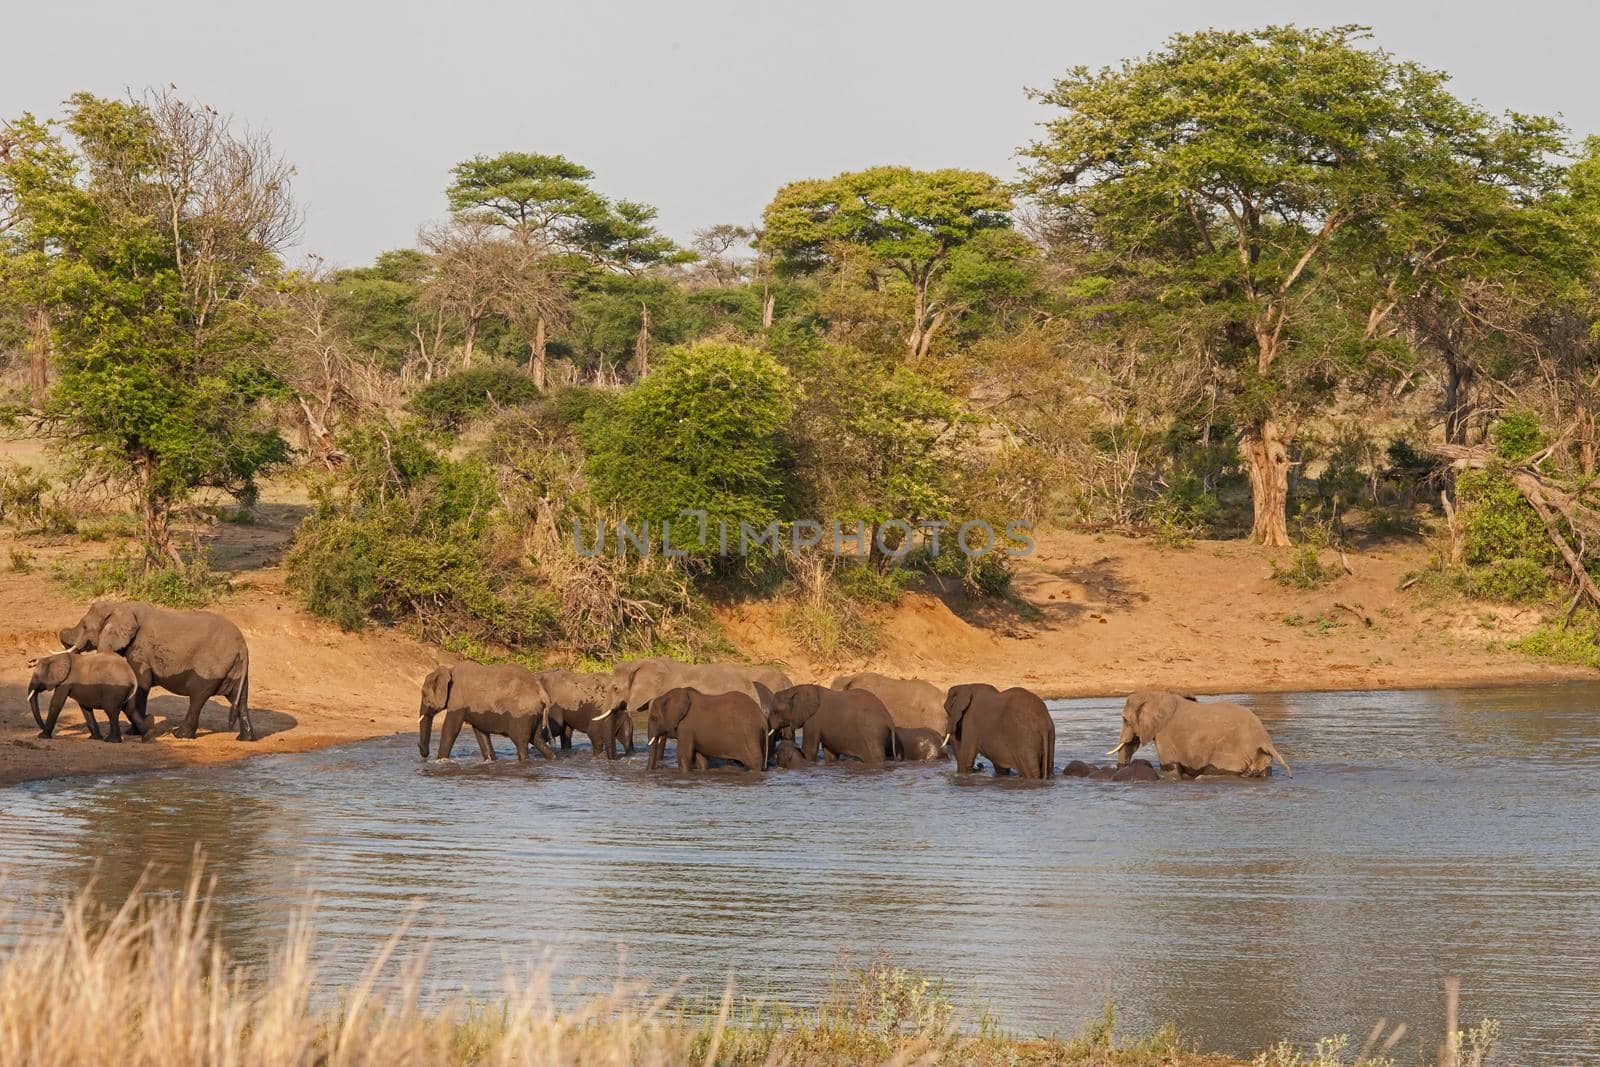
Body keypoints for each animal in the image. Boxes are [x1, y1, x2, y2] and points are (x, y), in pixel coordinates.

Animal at [61, 601, 252, 742]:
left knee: (198, 696)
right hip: (236, 667)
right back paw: (245, 738)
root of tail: (242, 645)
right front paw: (135, 731)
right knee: (240, 698)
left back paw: (180, 735)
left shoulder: (140, 649)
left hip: (211, 664)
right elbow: (142, 687)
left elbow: (142, 683)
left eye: (85, 626)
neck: (120, 607)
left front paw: (140, 730)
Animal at [419, 662, 556, 764]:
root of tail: (542, 694)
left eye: (424, 696)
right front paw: (490, 761)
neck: (449, 670)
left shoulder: (458, 699)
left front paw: (440, 761)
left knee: (521, 742)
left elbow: (451, 728)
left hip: (522, 715)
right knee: (537, 739)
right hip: (536, 714)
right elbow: (480, 732)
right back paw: (553, 758)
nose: (424, 755)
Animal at [764, 684, 896, 767]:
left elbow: (809, 750)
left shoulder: (813, 720)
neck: (797, 689)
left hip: (872, 735)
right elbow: (829, 753)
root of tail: (889, 720)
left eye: (775, 711)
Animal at [1107, 694, 1292, 777]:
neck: (1157, 695)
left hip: (1231, 754)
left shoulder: (1165, 735)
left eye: (1125, 719)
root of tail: (1265, 741)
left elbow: (1170, 767)